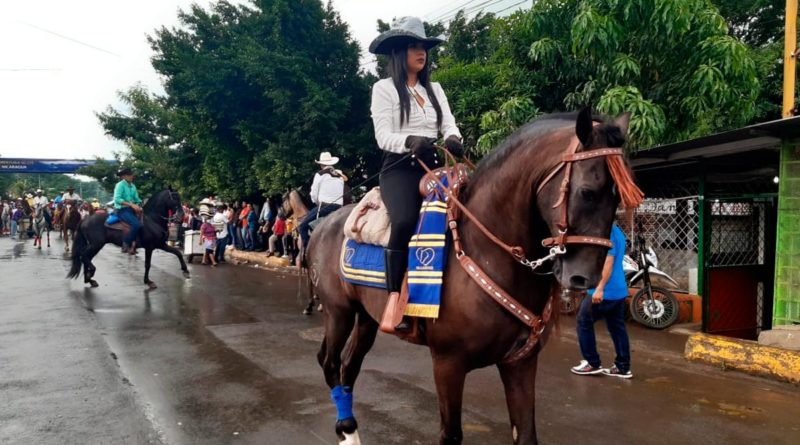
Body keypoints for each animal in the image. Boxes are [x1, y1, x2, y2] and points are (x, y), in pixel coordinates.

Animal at [306, 108, 644, 444]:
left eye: (618, 199)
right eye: (588, 193)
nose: (584, 278)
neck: (485, 250)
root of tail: (322, 225)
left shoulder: (520, 362)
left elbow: (526, 434)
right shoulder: (447, 364)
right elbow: (451, 435)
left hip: (366, 317)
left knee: (349, 365)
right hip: (339, 312)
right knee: (330, 361)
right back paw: (345, 426)